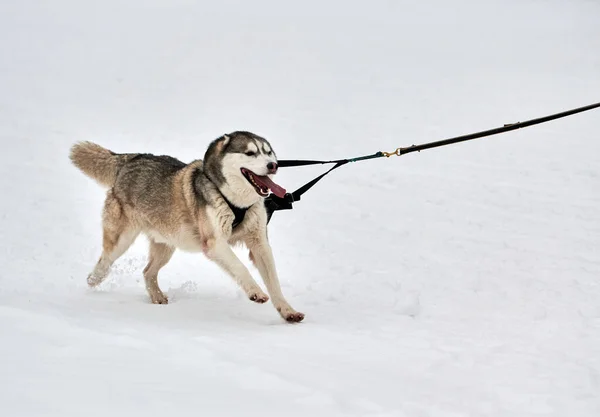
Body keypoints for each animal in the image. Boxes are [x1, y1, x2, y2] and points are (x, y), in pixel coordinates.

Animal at [70, 131, 304, 322]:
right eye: (250, 153)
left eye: (268, 152)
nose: (273, 165)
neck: (236, 202)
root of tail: (131, 158)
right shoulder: (215, 243)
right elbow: (240, 267)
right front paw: (256, 292)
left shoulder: (259, 244)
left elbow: (274, 282)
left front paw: (287, 311)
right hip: (122, 239)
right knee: (105, 260)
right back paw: (93, 280)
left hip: (166, 244)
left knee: (147, 272)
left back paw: (156, 296)